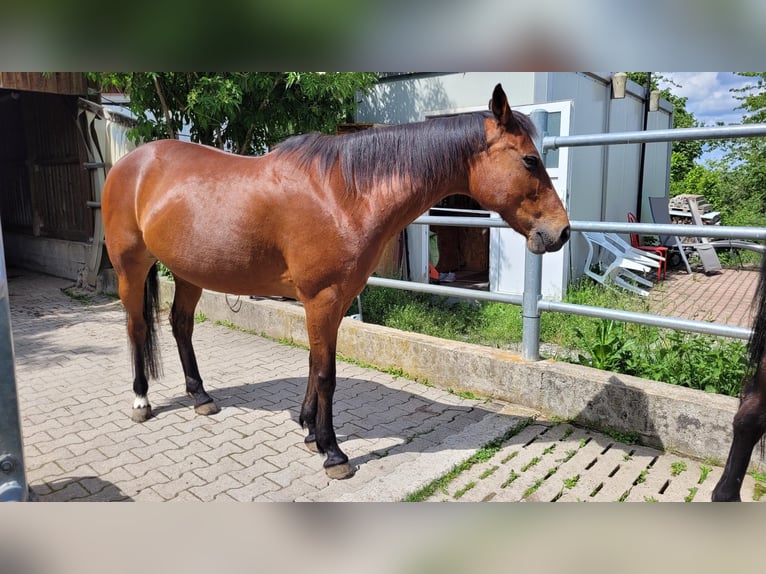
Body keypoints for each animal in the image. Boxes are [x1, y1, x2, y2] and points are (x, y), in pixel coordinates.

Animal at [101, 83, 571, 480]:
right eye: (530, 159)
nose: (561, 232)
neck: (343, 194)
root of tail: (131, 163)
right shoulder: (321, 299)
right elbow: (327, 374)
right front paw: (332, 451)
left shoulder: (336, 300)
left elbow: (314, 363)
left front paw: (309, 429)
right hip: (131, 267)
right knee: (136, 327)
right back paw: (141, 400)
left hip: (188, 272)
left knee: (180, 325)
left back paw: (200, 397)